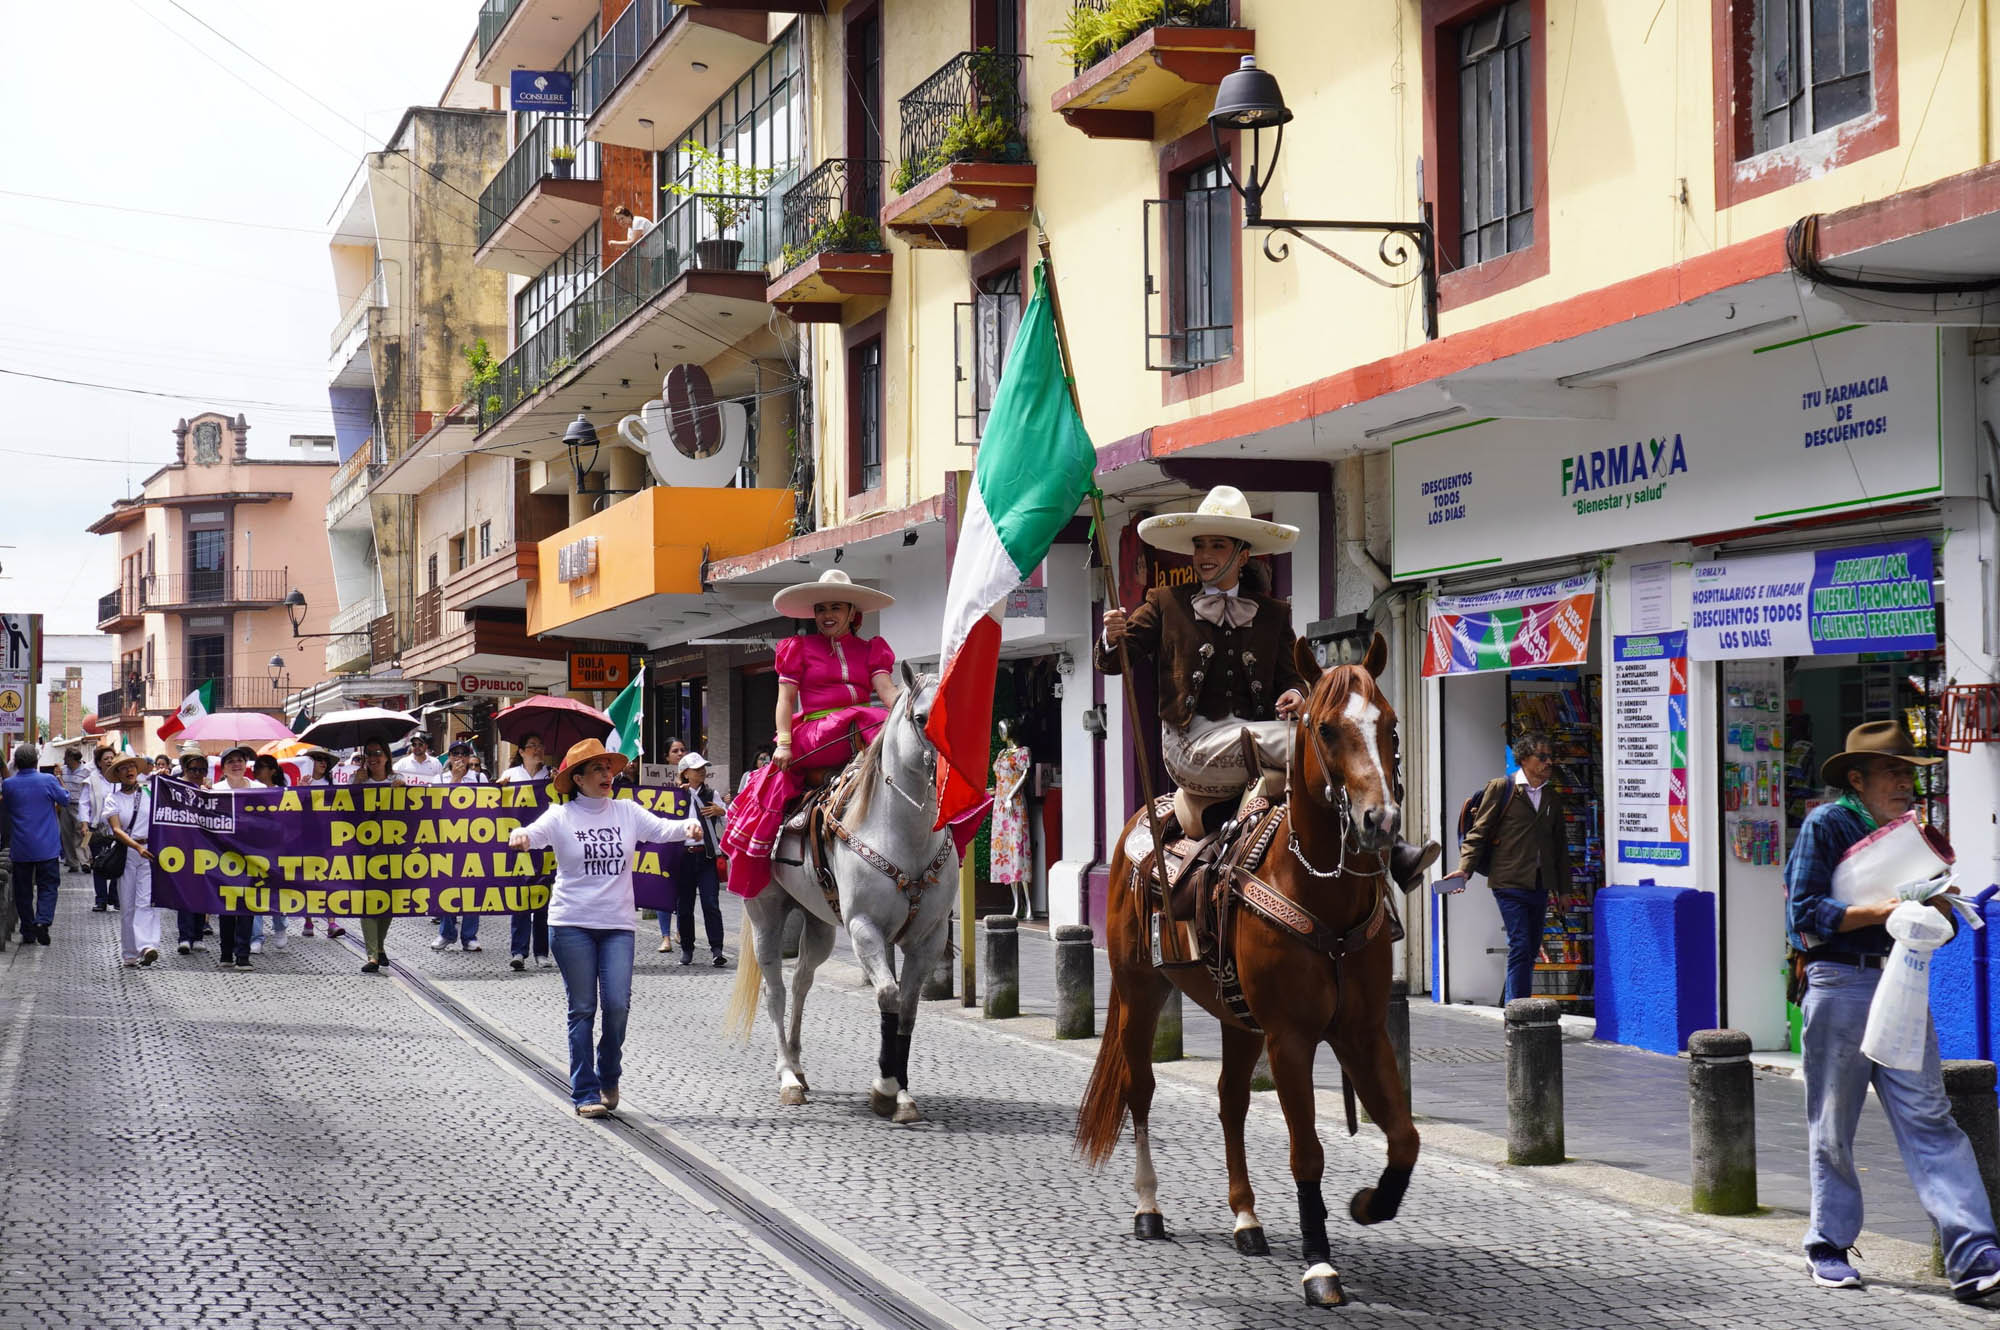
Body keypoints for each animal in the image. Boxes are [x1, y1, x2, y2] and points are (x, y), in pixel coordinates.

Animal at [728, 664, 960, 1120]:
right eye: (921, 718)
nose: (949, 776)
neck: (904, 835)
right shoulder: (864, 928)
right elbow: (888, 995)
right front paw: (885, 1088)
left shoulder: (929, 937)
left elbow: (907, 1010)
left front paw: (902, 1094)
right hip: (766, 915)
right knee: (775, 991)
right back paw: (787, 1077)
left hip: (818, 922)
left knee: (802, 981)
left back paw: (798, 1067)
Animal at [1072, 632, 1416, 1304]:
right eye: (1326, 728)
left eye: (1389, 723)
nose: (1380, 822)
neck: (1321, 891)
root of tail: (1139, 821)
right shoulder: (1289, 1039)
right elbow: (1307, 1151)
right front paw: (1319, 1263)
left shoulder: (1364, 1032)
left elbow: (1404, 1138)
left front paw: (1370, 1204)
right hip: (1140, 991)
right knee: (1140, 1090)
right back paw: (1148, 1208)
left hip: (1237, 1017)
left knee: (1231, 1100)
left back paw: (1246, 1219)